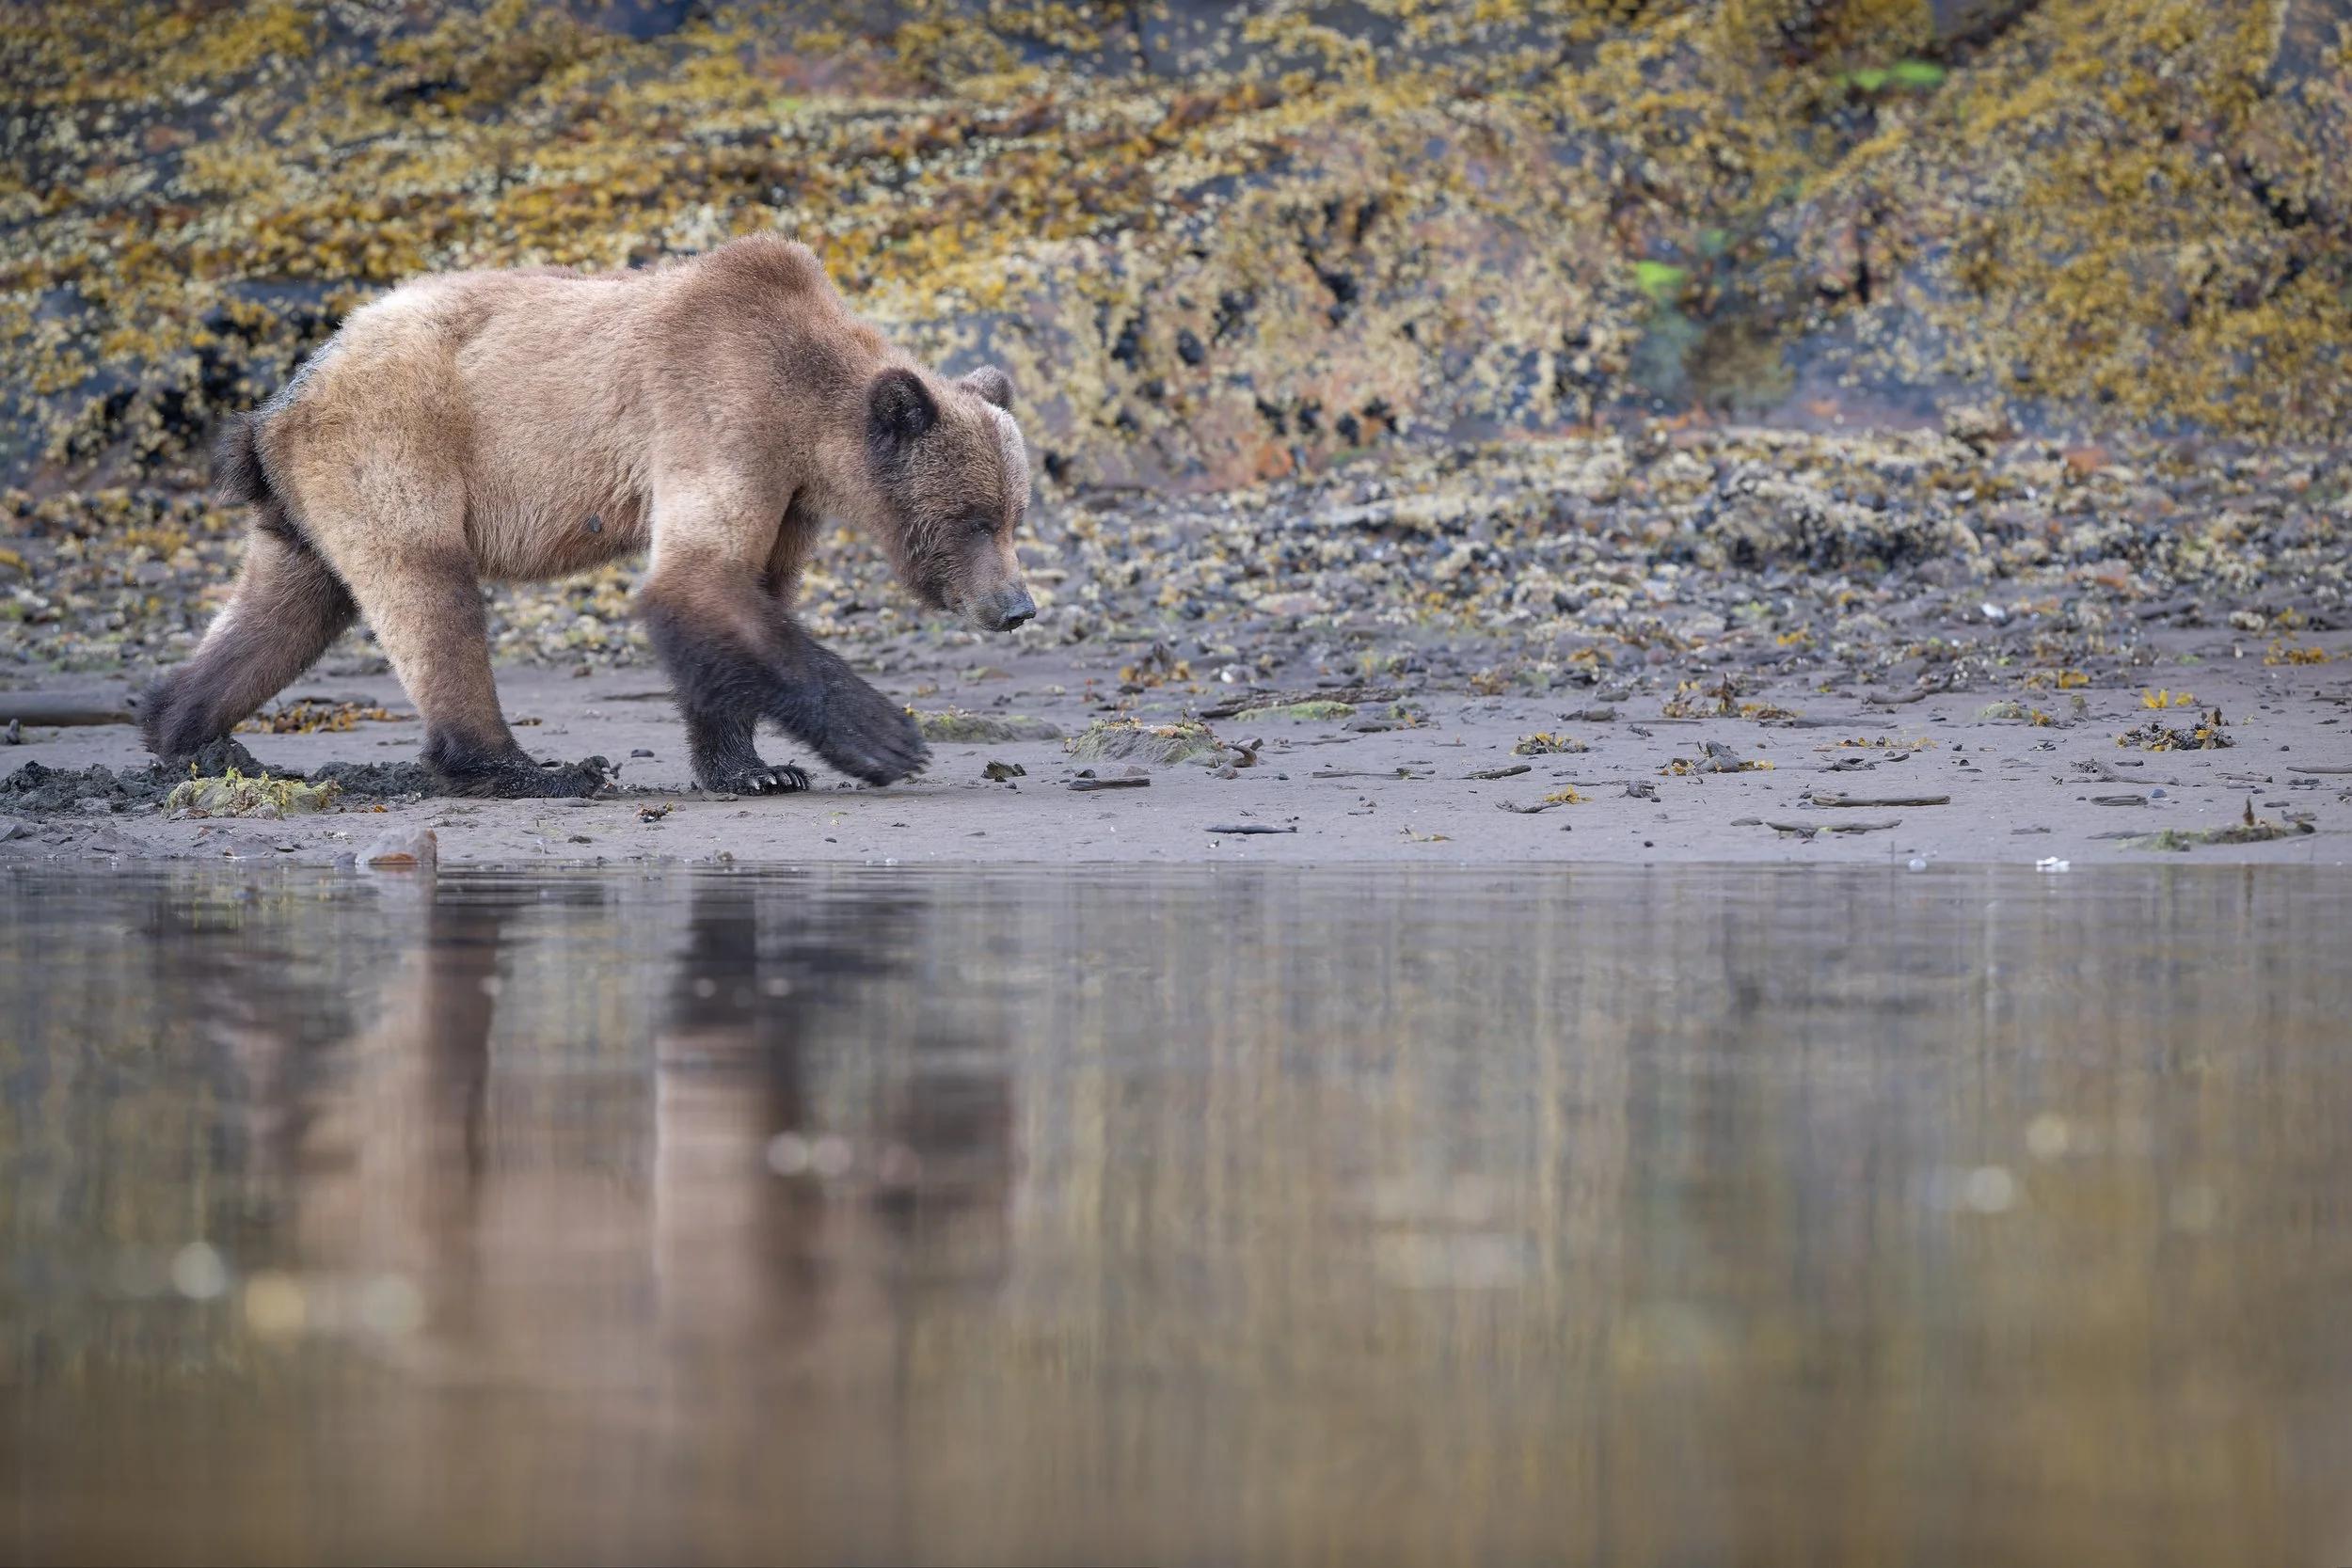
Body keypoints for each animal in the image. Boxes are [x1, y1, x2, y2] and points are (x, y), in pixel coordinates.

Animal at [141, 235, 1035, 797]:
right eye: (973, 517)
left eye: (1015, 515)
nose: (1017, 606)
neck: (805, 414)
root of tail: (280, 401)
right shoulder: (719, 411)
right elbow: (696, 581)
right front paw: (885, 738)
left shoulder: (785, 492)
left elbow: (743, 598)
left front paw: (754, 766)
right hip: (395, 442)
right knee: (430, 596)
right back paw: (527, 767)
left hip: (315, 494)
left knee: (287, 607)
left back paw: (189, 732)